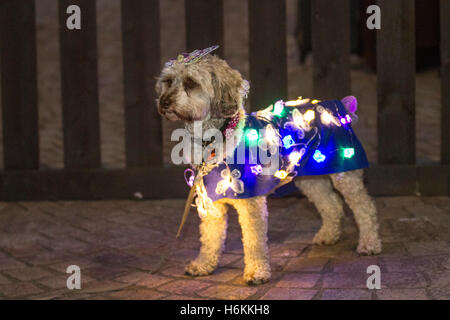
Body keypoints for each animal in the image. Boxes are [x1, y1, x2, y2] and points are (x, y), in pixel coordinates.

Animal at [156, 46, 382, 284]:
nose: (163, 102)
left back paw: (369, 243)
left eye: (191, 83)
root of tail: (338, 105)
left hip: (346, 172)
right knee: (331, 204)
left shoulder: (251, 203)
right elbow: (210, 238)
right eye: (168, 81)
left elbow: (254, 241)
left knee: (365, 206)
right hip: (310, 177)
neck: (218, 138)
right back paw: (329, 235)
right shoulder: (211, 204)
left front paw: (256, 272)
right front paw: (203, 264)